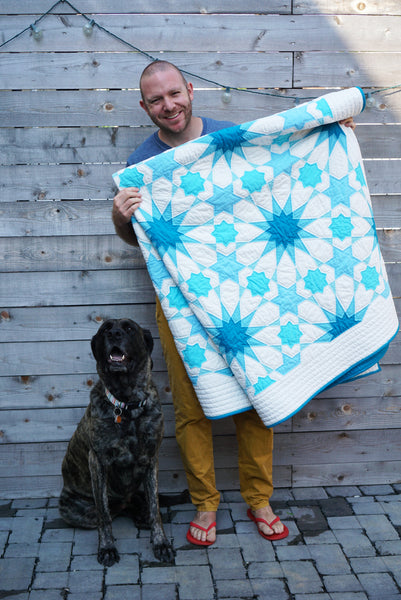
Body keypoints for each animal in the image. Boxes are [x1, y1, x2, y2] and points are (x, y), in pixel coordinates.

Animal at [59, 318, 173, 568]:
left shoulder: (151, 459)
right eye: (104, 329)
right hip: (74, 510)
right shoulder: (98, 462)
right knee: (110, 511)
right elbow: (104, 515)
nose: (115, 334)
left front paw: (160, 543)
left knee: (138, 501)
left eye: (129, 328)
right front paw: (107, 548)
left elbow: (155, 508)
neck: (127, 404)